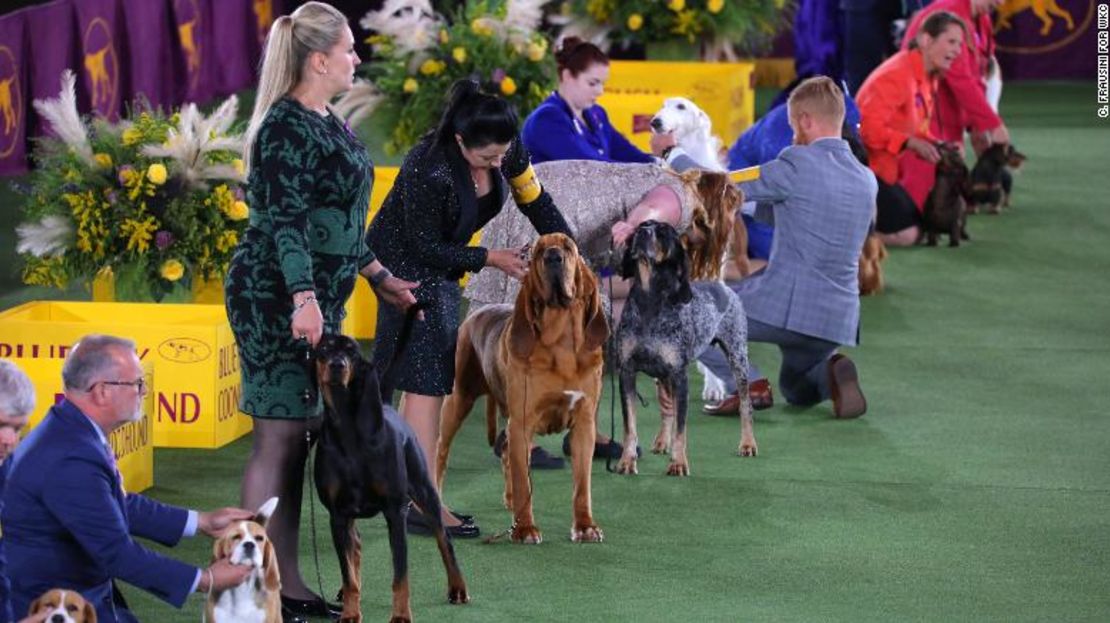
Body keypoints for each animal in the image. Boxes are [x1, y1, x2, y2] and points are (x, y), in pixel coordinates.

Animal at [435, 230, 608, 541]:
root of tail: (473, 315)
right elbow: (524, 481)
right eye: (539, 251)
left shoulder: (583, 424)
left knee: (505, 453)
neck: (562, 344)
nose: (553, 257)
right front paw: (525, 528)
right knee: (441, 451)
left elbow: (581, 485)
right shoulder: (523, 422)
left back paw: (511, 500)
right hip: (457, 402)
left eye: (568, 247)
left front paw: (585, 526)